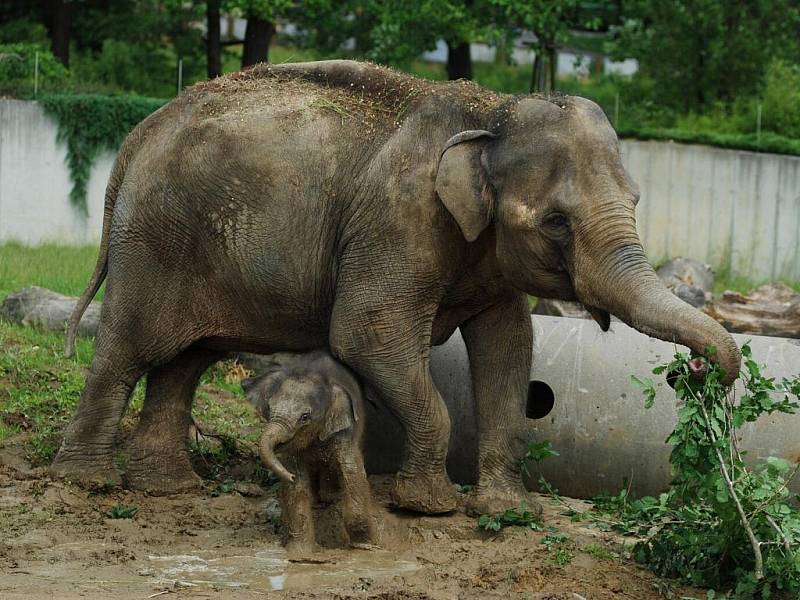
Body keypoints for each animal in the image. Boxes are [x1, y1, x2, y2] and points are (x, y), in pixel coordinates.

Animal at [50, 61, 740, 516]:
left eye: (635, 201)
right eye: (555, 223)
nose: (702, 374)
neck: (492, 112)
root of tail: (137, 136)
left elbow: (510, 344)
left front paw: (506, 510)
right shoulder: (397, 218)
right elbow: (367, 331)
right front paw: (430, 506)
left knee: (186, 360)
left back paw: (169, 489)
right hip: (154, 241)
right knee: (129, 351)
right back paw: (87, 484)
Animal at [241, 352, 378, 552]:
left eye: (305, 417)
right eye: (269, 408)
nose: (287, 476)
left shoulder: (345, 430)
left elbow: (351, 470)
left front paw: (365, 546)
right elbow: (298, 484)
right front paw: (300, 552)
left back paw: (331, 497)